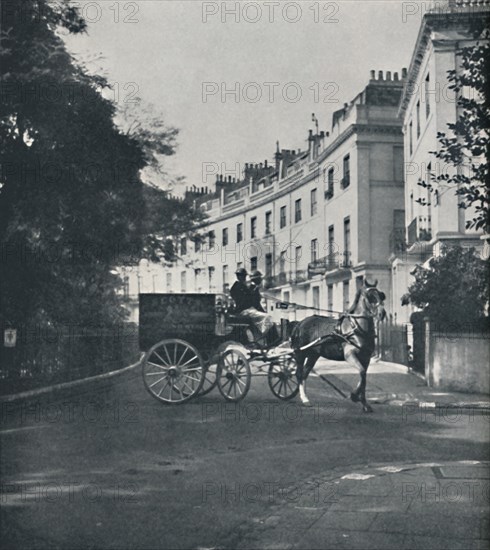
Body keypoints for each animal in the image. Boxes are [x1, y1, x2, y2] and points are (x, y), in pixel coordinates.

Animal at [290, 280, 386, 414]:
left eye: (381, 295)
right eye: (370, 296)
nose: (382, 313)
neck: (355, 328)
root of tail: (300, 323)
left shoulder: (366, 358)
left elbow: (364, 377)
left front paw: (364, 403)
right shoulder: (349, 355)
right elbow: (362, 372)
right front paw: (354, 396)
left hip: (313, 355)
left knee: (304, 373)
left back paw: (305, 398)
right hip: (300, 354)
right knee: (299, 374)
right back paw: (304, 399)